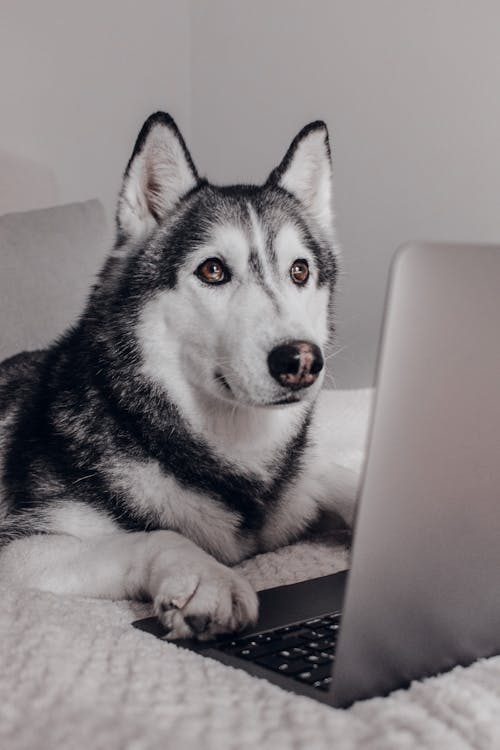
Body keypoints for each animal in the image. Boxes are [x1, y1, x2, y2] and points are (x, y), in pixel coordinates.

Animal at [0, 113, 356, 640]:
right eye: (212, 270)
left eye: (299, 270)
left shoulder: (298, 486)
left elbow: (341, 476)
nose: (302, 361)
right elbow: (157, 535)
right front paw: (207, 579)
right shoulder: (19, 546)